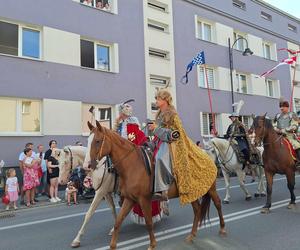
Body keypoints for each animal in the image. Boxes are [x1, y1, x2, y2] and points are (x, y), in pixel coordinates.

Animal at [86, 120, 225, 249]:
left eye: (97, 141)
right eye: (88, 141)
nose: (88, 165)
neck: (132, 165)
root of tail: (207, 154)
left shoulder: (144, 200)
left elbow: (148, 222)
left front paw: (152, 245)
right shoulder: (129, 199)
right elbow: (118, 221)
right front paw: (112, 245)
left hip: (210, 188)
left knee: (217, 203)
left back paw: (222, 229)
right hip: (192, 193)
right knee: (197, 210)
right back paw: (191, 235)